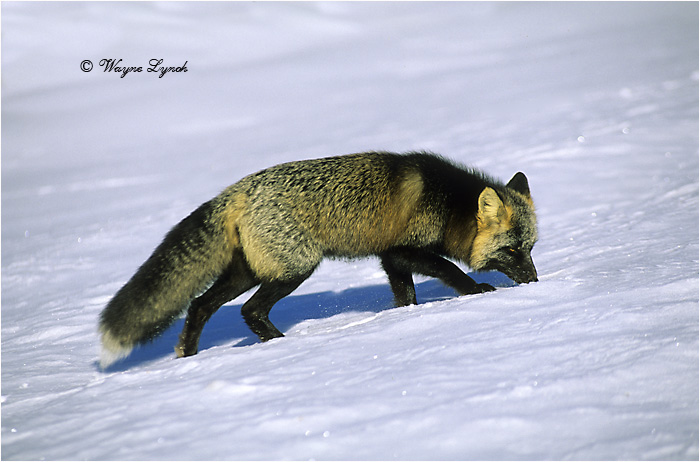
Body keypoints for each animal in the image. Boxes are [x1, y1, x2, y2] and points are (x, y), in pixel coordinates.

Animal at [98, 151, 538, 368]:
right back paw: (283, 345)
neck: (447, 204)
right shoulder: (403, 250)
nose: (535, 281)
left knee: (199, 305)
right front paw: (476, 291)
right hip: (295, 268)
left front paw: (406, 319)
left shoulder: (390, 259)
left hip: (246, 273)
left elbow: (405, 297)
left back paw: (187, 359)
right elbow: (448, 269)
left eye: (531, 247)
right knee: (249, 310)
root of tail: (237, 191)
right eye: (512, 250)